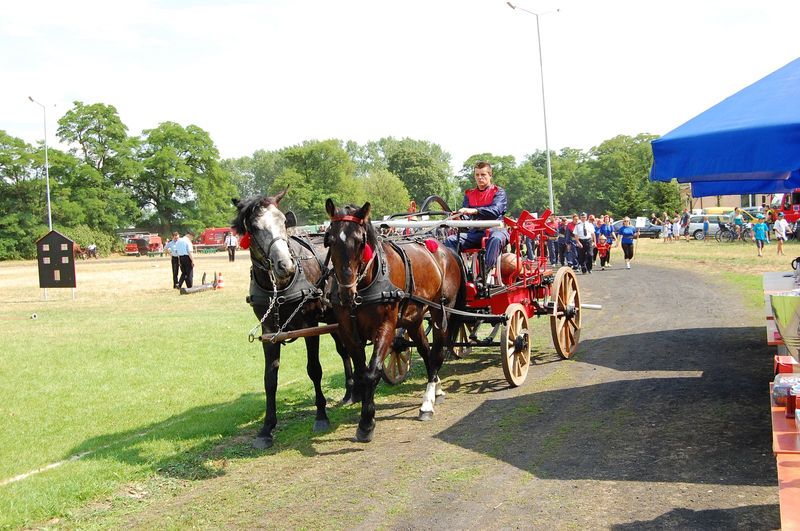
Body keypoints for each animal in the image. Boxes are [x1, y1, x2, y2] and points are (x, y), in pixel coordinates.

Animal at [324, 200, 466, 444]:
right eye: (330, 240)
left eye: (360, 242)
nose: (346, 293)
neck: (367, 283)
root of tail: (447, 250)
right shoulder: (349, 333)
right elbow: (362, 373)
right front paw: (366, 415)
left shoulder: (386, 327)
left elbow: (372, 372)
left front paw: (366, 423)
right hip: (413, 319)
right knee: (426, 351)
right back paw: (436, 389)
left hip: (441, 312)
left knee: (437, 352)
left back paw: (427, 403)